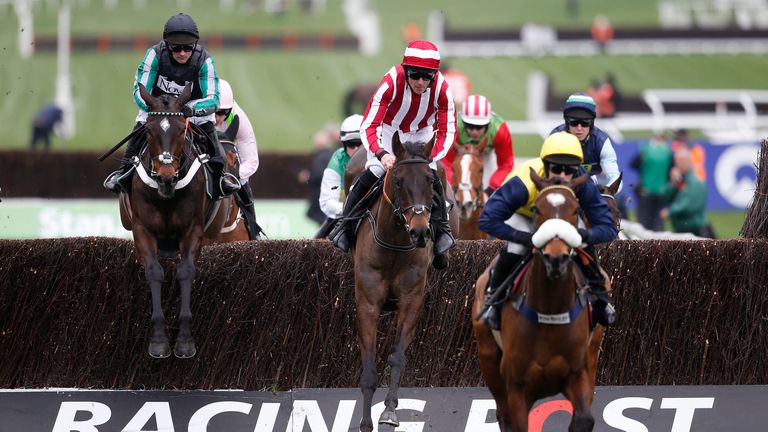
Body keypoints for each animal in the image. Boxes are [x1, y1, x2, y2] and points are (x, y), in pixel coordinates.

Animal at [117, 82, 234, 360]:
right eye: (149, 131)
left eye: (182, 130)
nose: (166, 177)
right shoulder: (142, 229)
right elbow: (154, 272)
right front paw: (159, 341)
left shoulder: (193, 231)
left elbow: (186, 272)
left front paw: (184, 342)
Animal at [352, 134, 440, 432]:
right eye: (399, 181)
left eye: (430, 180)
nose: (420, 232)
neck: (393, 245)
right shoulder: (367, 304)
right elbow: (368, 370)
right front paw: (365, 422)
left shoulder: (412, 300)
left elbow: (397, 356)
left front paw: (389, 411)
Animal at [468, 170, 608, 430]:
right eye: (537, 210)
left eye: (576, 210)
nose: (556, 258)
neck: (550, 311)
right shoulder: (517, 386)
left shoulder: (577, 374)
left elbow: (583, 419)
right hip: (488, 355)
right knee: (502, 412)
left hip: (593, 351)